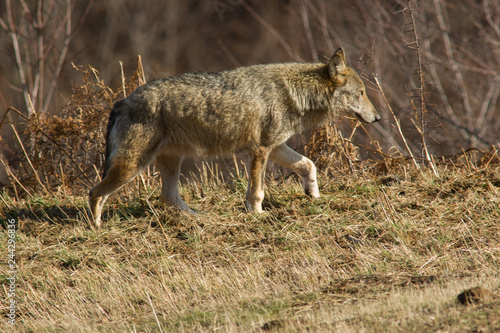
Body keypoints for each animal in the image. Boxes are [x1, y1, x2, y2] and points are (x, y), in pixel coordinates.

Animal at [89, 48, 378, 226]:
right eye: (362, 93)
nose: (377, 118)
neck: (293, 93)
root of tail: (121, 102)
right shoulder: (260, 150)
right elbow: (257, 192)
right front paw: (258, 216)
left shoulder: (276, 147)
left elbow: (309, 165)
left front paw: (314, 194)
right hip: (132, 167)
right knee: (95, 193)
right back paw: (97, 229)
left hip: (170, 161)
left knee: (169, 197)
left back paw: (199, 218)